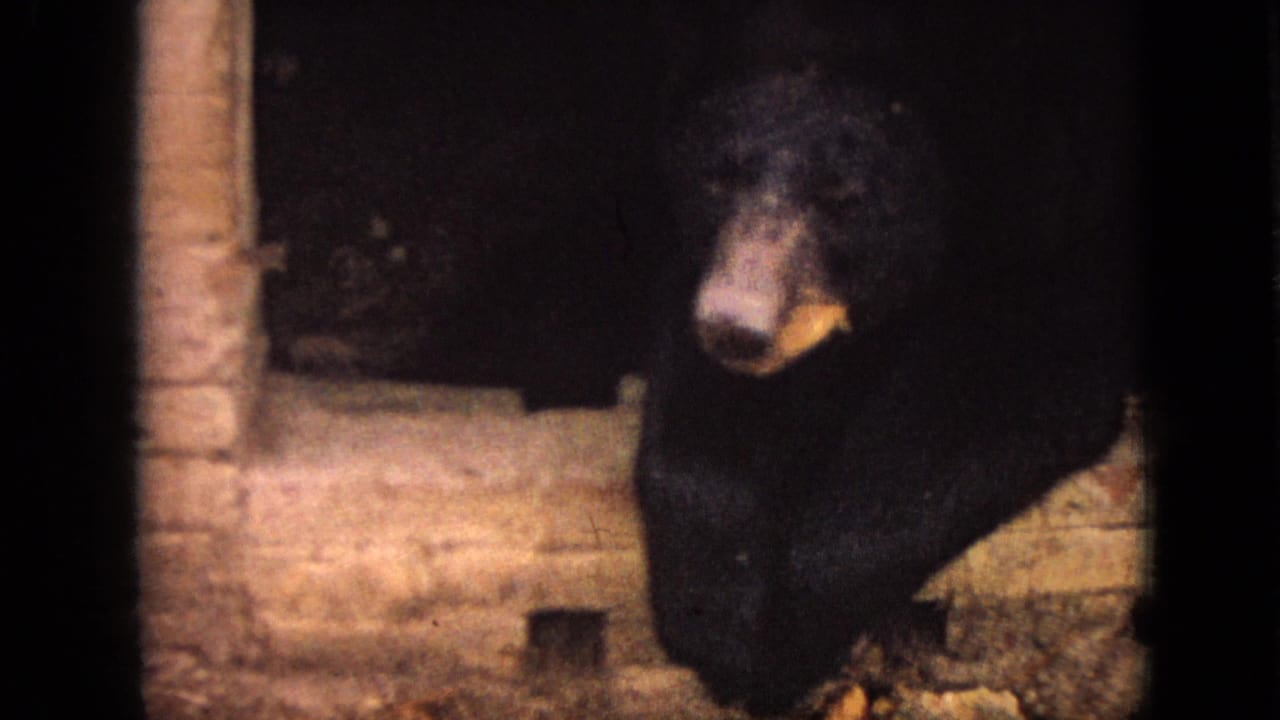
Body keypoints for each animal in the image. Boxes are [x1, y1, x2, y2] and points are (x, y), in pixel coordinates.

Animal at [632, 2, 1142, 714]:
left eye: (844, 196)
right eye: (716, 176)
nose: (735, 328)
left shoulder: (1067, 211)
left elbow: (1005, 382)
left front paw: (785, 641)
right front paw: (715, 615)